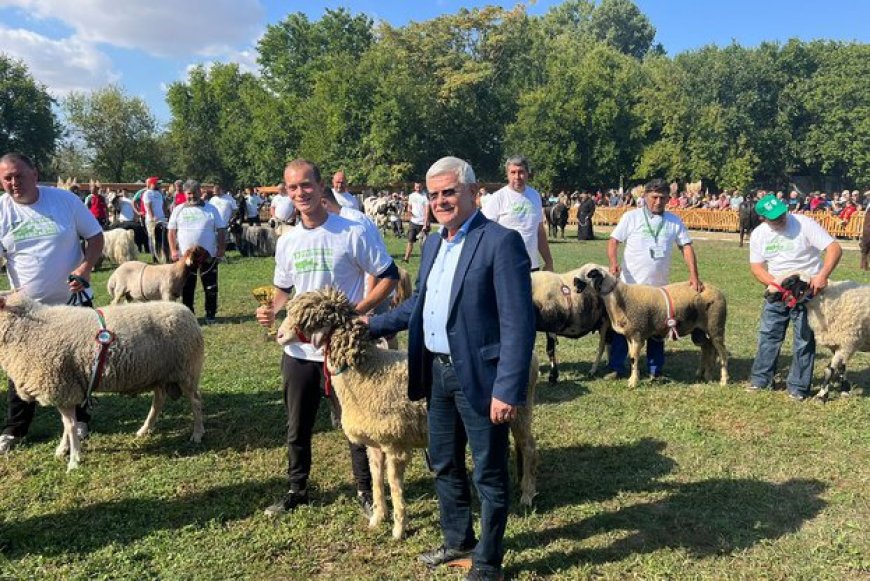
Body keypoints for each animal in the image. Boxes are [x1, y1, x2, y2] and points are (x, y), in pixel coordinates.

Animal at [0, 294, 204, 472]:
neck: (27, 327)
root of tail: (186, 311)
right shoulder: (65, 390)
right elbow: (66, 425)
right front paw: (63, 450)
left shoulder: (63, 386)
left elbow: (70, 426)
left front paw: (74, 460)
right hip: (159, 374)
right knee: (159, 401)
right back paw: (144, 429)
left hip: (186, 370)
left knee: (195, 402)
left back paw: (197, 434)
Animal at [278, 286, 540, 540]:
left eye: (308, 320)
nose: (279, 335)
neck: (368, 370)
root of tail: (533, 356)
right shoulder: (375, 443)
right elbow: (376, 480)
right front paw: (377, 518)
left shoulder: (395, 443)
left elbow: (395, 487)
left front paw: (398, 529)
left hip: (519, 408)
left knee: (528, 446)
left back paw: (527, 493)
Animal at [576, 266, 732, 388]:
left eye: (591, 273)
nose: (575, 282)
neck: (621, 297)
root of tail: (718, 291)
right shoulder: (630, 335)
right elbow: (632, 357)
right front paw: (634, 377)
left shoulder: (638, 333)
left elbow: (634, 357)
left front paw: (633, 382)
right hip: (698, 331)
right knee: (707, 347)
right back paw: (704, 374)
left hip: (716, 326)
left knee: (722, 352)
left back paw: (723, 380)